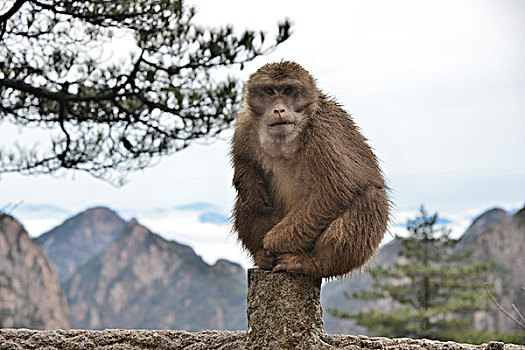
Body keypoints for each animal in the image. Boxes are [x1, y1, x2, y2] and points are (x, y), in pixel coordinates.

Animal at [230, 61, 388, 278]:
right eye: (269, 91)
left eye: (288, 91)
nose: (279, 110)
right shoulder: (245, 124)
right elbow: (244, 160)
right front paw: (250, 184)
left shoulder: (324, 133)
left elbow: (334, 192)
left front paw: (273, 242)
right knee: (246, 200)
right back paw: (261, 254)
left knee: (371, 197)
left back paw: (311, 263)